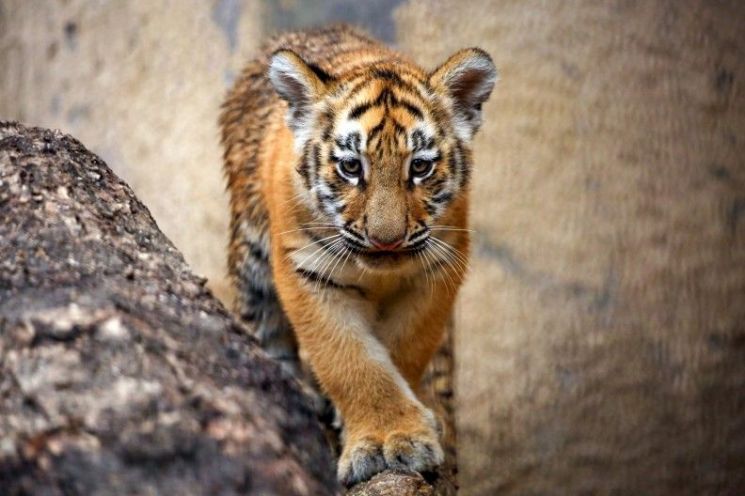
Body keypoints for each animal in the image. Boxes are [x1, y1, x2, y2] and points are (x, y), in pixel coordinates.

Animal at [220, 24, 496, 486]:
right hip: (251, 254)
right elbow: (350, 361)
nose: (386, 240)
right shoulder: (307, 270)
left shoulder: (437, 269)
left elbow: (403, 352)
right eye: (351, 167)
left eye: (419, 167)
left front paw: (406, 432)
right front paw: (385, 438)